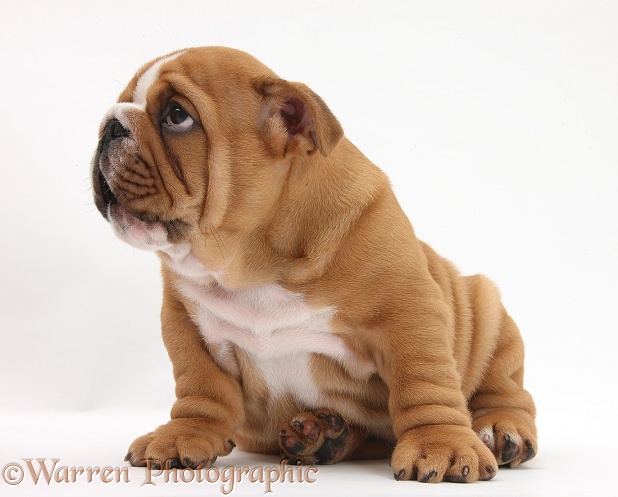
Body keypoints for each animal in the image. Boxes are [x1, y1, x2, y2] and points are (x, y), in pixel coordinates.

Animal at [90, 46, 536, 480]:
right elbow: (202, 386)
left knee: (506, 390)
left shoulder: (409, 314)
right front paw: (184, 434)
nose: (110, 124)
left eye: (177, 116)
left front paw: (440, 442)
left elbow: (425, 383)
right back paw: (322, 436)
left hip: (487, 311)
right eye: (122, 103)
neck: (252, 265)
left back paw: (501, 430)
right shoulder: (185, 322)